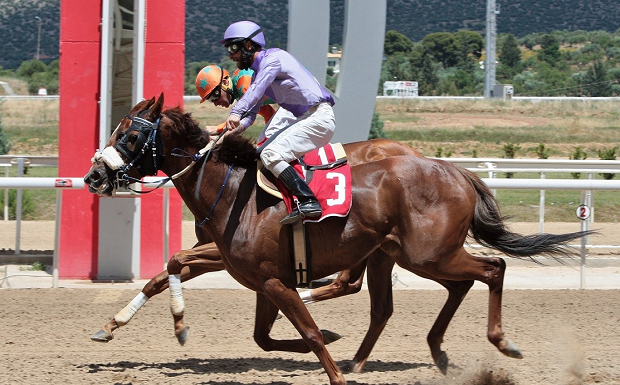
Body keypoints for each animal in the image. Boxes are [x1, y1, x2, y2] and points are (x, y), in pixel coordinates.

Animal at [83, 94, 592, 384]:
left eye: (130, 135)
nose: (92, 176)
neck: (233, 192)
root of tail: (454, 170)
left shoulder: (272, 279)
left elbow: (305, 332)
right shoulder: (258, 278)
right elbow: (262, 334)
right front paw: (114, 325)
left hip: (427, 253)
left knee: (491, 268)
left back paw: (500, 343)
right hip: (402, 254)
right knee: (424, 294)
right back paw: (423, 352)